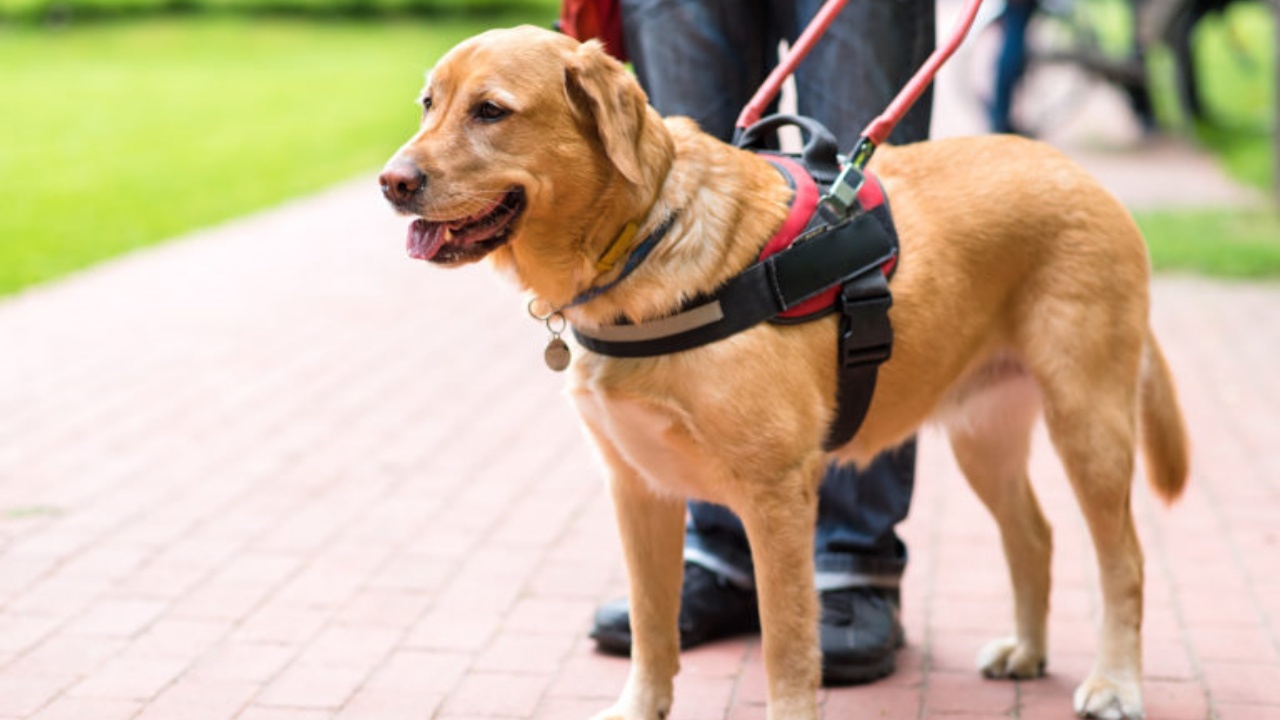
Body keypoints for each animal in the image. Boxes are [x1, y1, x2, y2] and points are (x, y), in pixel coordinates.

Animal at [376, 23, 1187, 717]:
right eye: (428, 104)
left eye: (491, 111)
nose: (391, 182)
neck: (642, 244)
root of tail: (1081, 173)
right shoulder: (637, 487)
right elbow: (651, 628)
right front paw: (641, 707)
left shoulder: (779, 496)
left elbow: (788, 648)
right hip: (982, 435)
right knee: (1035, 537)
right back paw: (1026, 650)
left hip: (1088, 423)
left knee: (1126, 561)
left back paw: (1115, 684)